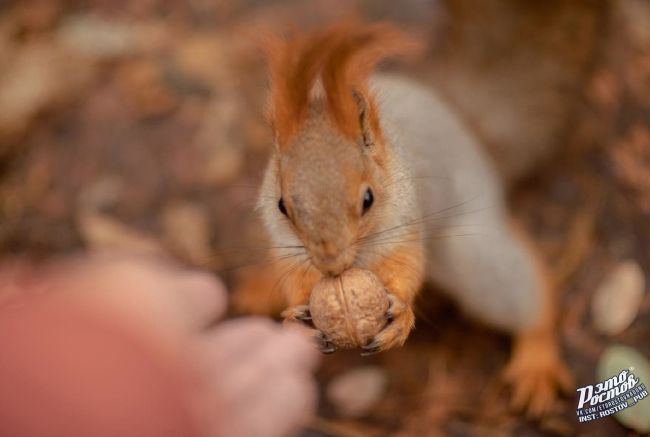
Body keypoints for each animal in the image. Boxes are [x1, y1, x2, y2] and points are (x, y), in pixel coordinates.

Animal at [232, 21, 568, 416]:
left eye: (368, 199)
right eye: (283, 205)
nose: (331, 266)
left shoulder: (405, 220)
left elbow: (406, 265)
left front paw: (402, 315)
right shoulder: (286, 243)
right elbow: (295, 275)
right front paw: (295, 318)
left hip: (471, 253)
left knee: (519, 285)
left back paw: (537, 356)